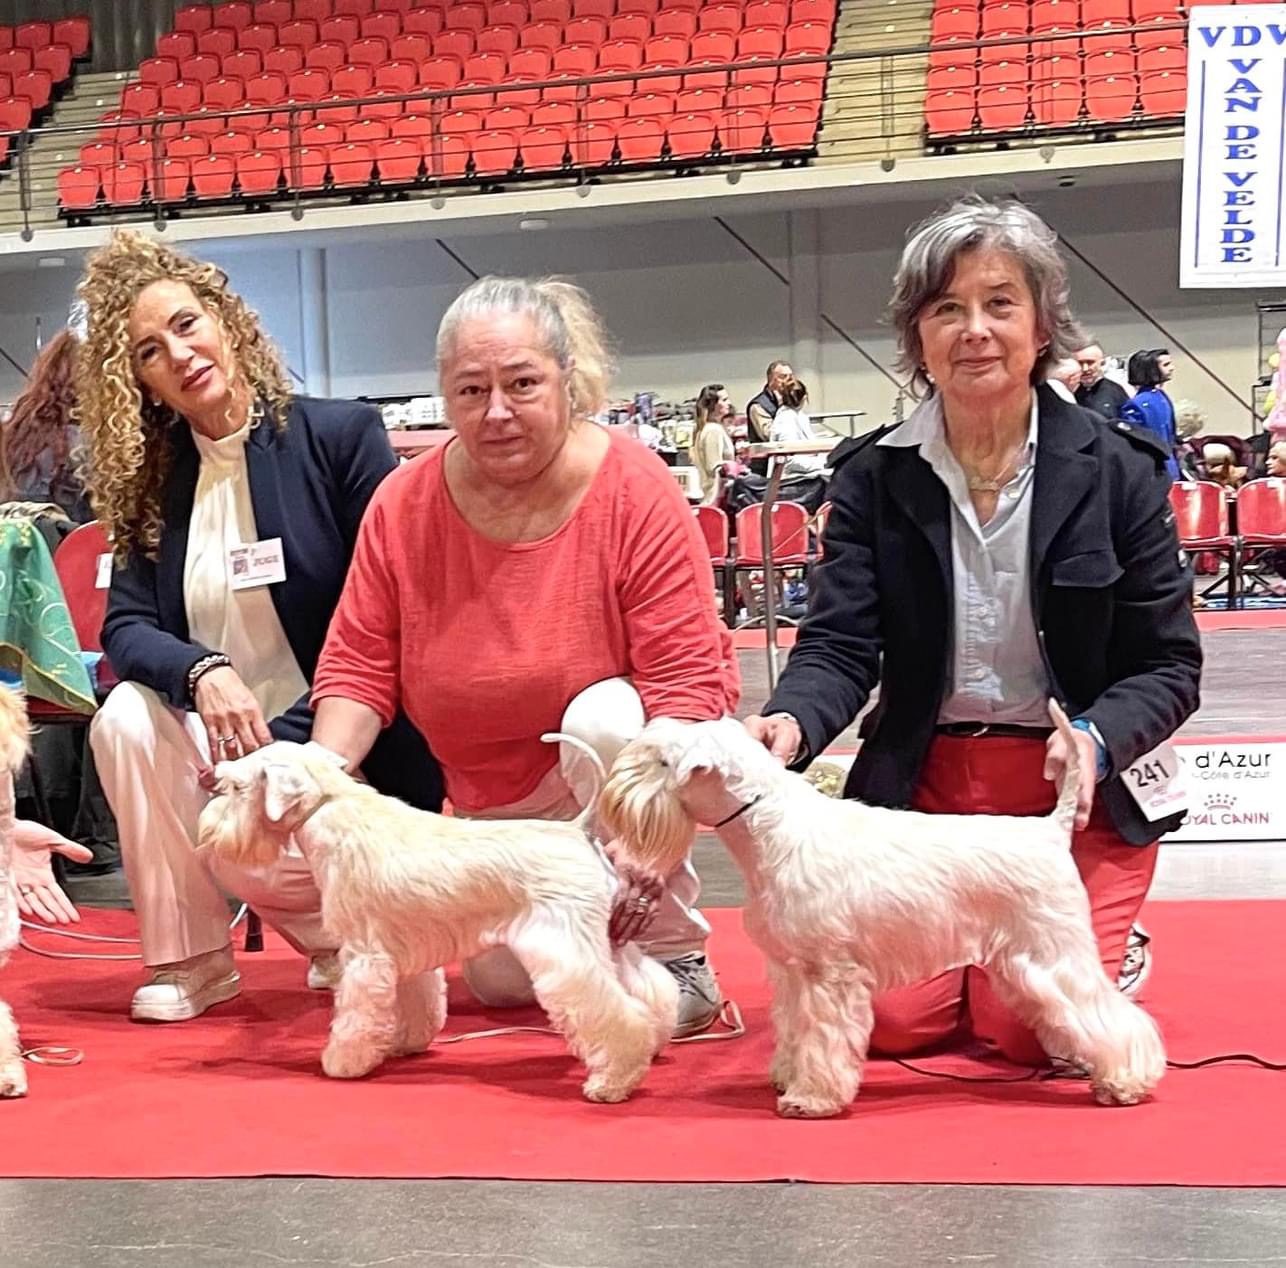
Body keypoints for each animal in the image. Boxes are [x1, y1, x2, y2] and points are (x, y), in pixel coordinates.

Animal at [196, 735, 679, 1100]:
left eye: (237, 788)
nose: (208, 828)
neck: (331, 809)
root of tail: (576, 830)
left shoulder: (364, 955)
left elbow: (354, 1013)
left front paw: (343, 1061)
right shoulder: (402, 956)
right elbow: (414, 1002)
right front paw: (402, 1043)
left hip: (566, 951)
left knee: (615, 1011)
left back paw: (612, 1081)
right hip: (608, 941)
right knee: (651, 990)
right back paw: (654, 1043)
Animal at [596, 699, 1172, 1116]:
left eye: (662, 761)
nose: (612, 792)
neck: (771, 831)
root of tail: (1050, 830)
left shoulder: (829, 975)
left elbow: (824, 1038)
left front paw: (812, 1098)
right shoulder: (791, 971)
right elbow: (795, 1030)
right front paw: (788, 1074)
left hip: (1052, 956)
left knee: (1110, 1015)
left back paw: (1125, 1081)